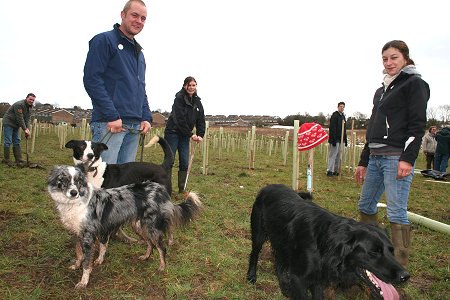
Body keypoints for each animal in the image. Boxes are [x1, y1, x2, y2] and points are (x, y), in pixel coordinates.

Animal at [48, 164, 202, 288]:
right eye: (64, 179)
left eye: (78, 181)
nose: (74, 193)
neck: (76, 202)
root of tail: (160, 189)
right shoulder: (77, 233)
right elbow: (79, 253)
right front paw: (76, 265)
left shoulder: (88, 237)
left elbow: (87, 263)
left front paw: (83, 282)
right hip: (139, 227)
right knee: (150, 244)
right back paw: (145, 257)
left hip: (152, 227)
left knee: (161, 248)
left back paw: (162, 267)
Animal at [248, 184, 410, 298]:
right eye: (374, 252)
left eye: (392, 250)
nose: (405, 276)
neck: (325, 243)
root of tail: (269, 186)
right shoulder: (299, 279)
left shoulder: (318, 279)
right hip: (259, 233)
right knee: (254, 253)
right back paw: (251, 277)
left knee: (279, 262)